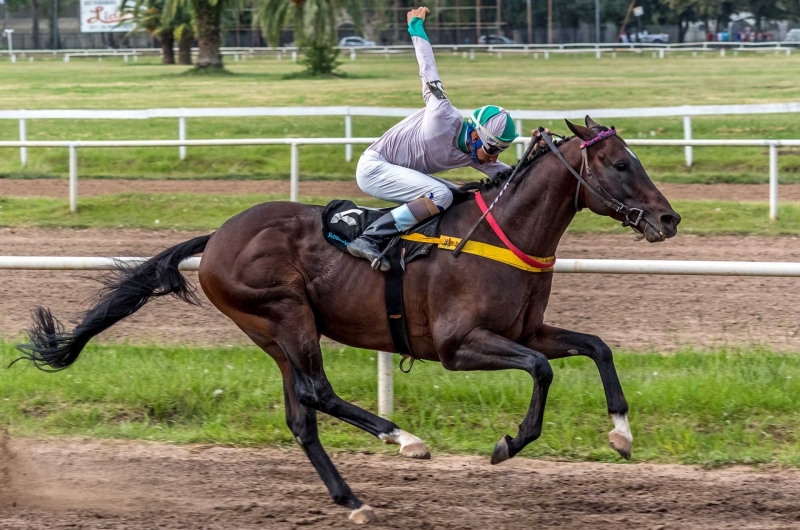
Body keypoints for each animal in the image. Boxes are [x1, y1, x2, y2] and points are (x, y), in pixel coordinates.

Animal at [17, 117, 680, 520]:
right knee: (320, 392)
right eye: (621, 164)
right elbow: (542, 369)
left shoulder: (523, 330)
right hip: (286, 315)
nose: (668, 219)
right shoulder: (459, 345)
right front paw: (509, 443)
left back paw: (351, 498)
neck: (505, 234)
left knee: (301, 416)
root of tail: (219, 235)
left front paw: (621, 433)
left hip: (273, 336)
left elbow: (596, 346)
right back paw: (404, 439)